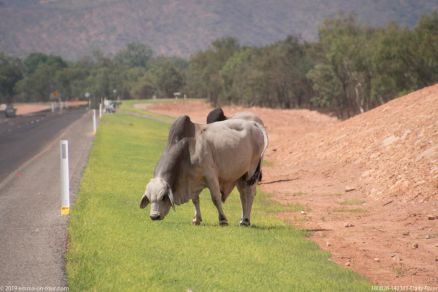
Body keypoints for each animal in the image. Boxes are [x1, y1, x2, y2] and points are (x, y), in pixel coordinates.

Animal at [140, 114, 268, 226]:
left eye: (163, 197)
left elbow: (215, 198)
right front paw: (196, 219)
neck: (188, 149)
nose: (154, 216)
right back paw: (243, 219)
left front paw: (223, 219)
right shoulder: (192, 180)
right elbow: (195, 200)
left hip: (252, 171)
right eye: (149, 198)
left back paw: (245, 221)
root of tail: (254, 124)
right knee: (243, 195)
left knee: (249, 193)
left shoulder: (210, 175)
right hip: (240, 174)